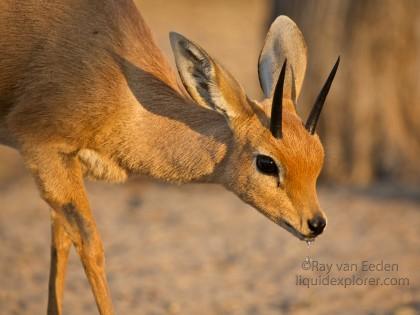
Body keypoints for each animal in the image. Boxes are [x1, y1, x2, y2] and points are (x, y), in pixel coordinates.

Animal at [0, 0, 338, 315]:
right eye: (266, 163)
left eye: (318, 157)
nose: (316, 223)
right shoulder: (43, 150)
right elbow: (90, 244)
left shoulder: (69, 163)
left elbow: (61, 240)